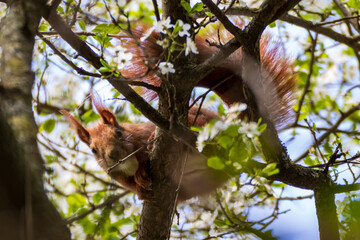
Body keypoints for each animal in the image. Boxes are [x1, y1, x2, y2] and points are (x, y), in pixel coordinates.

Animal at [61, 20, 296, 201]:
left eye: (118, 133)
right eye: (93, 150)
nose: (112, 155)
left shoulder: (142, 135)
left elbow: (144, 154)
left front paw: (141, 171)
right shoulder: (118, 177)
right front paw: (140, 189)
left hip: (199, 122)